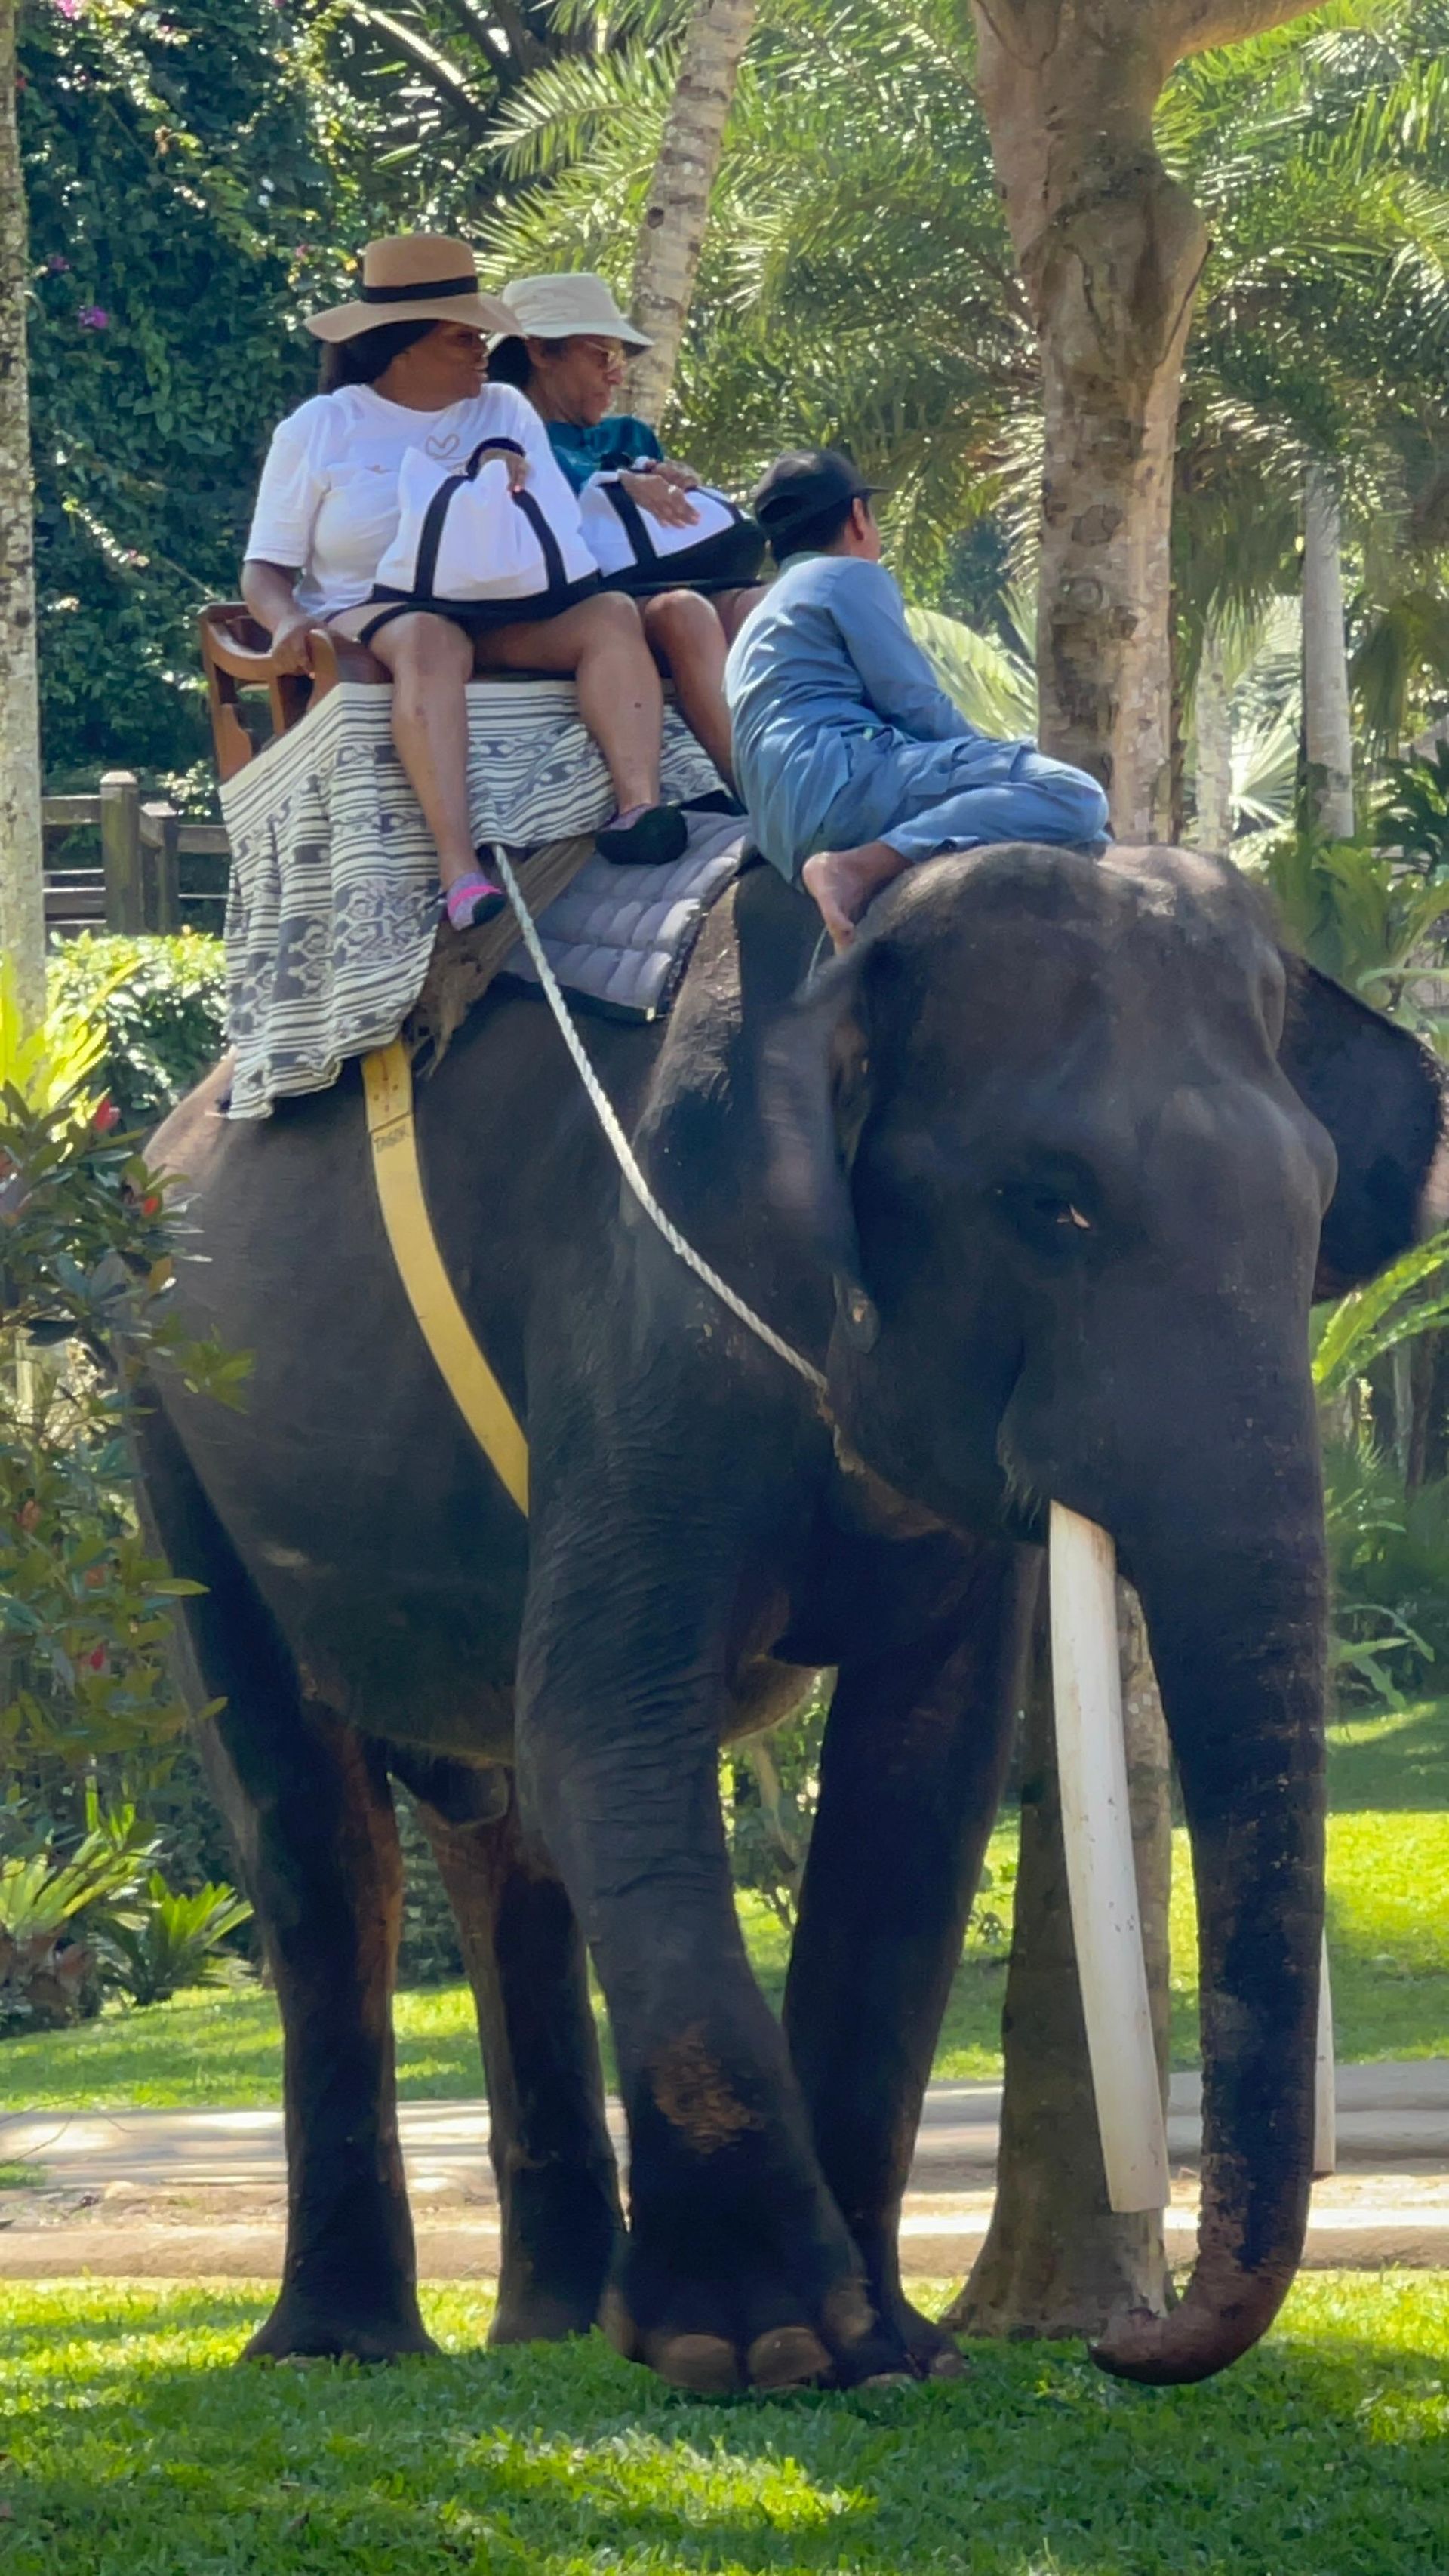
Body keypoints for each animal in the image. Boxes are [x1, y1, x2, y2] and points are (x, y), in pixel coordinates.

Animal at [139, 839, 1444, 2392]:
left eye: (1312, 1216)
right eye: (1052, 1204)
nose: (1126, 2332)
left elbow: (924, 1775)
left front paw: (888, 2352)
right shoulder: (651, 1298)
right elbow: (606, 1726)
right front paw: (755, 2347)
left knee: (498, 1834)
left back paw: (549, 2326)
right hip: (164, 1420)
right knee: (319, 1832)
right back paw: (339, 2350)